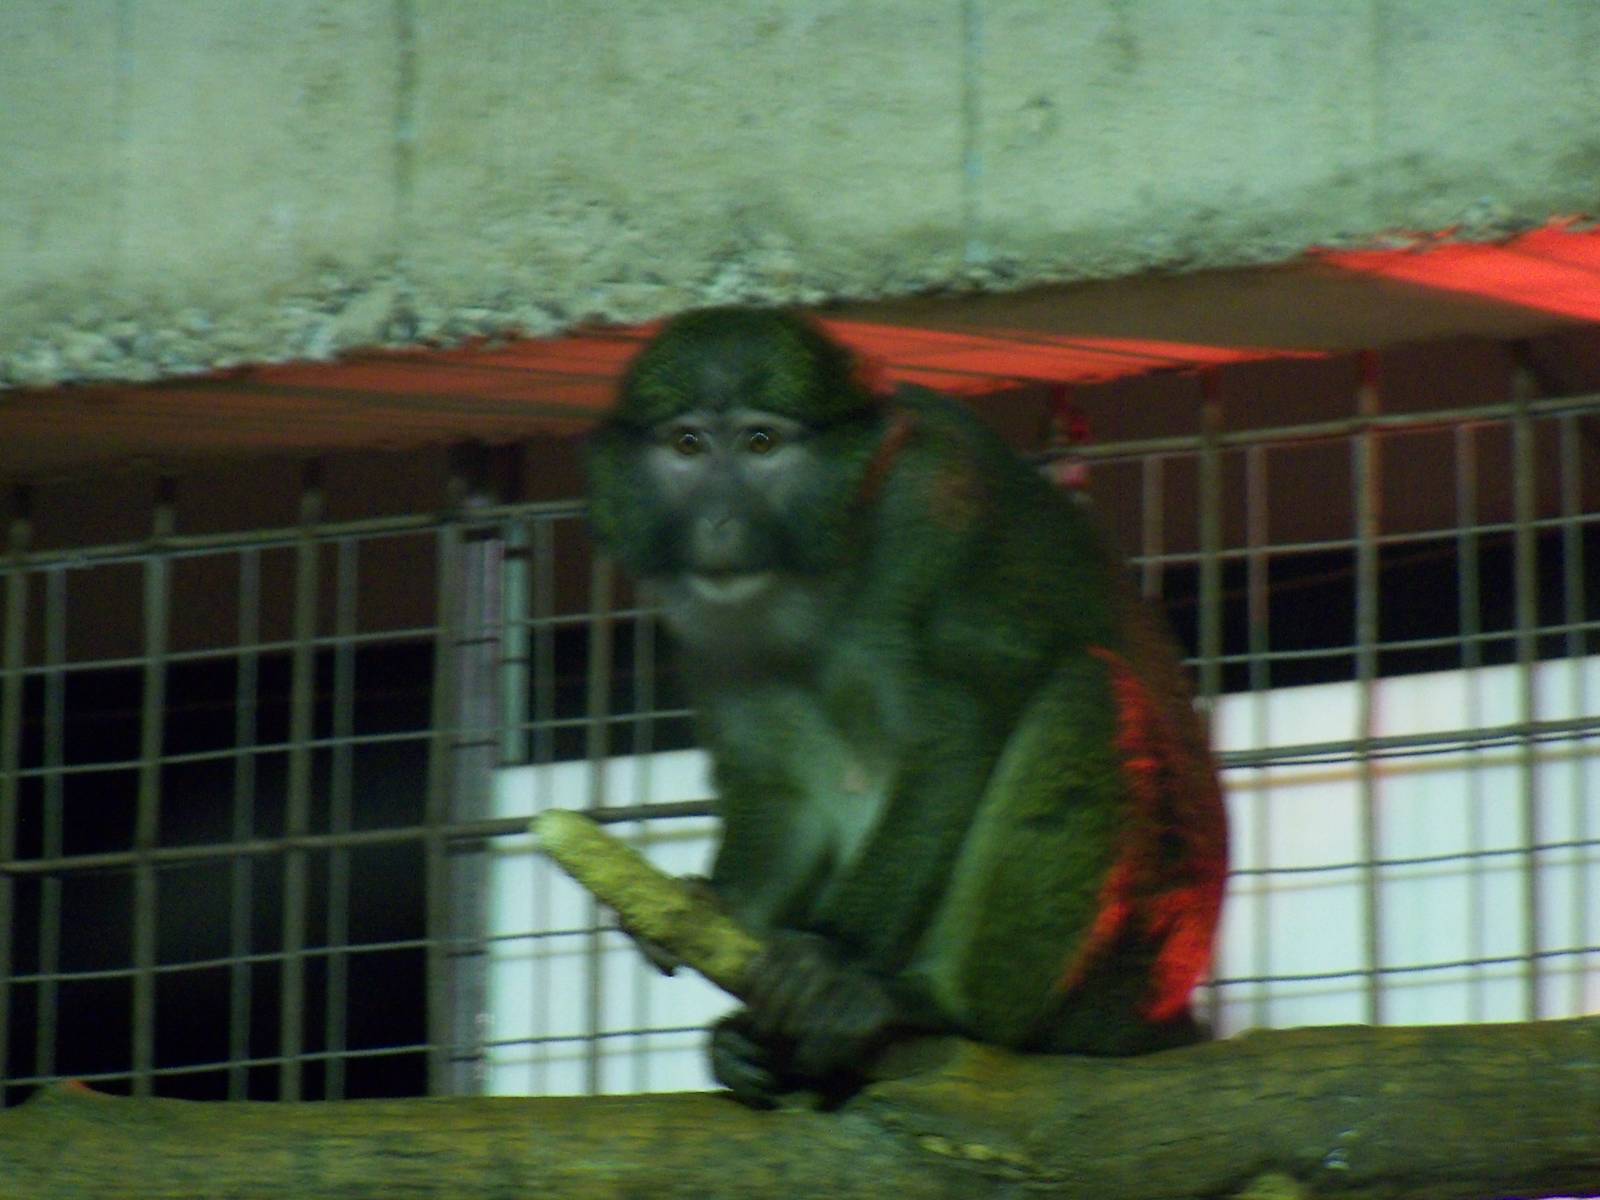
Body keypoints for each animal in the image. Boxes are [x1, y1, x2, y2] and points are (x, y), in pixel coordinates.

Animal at [584, 307, 1228, 1107]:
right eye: (688, 445)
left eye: (762, 443)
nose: (721, 522)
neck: (818, 576)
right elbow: (782, 790)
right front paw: (708, 906)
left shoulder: (933, 516)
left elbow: (955, 731)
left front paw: (834, 961)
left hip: (1130, 962)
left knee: (1087, 691)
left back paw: (932, 1006)